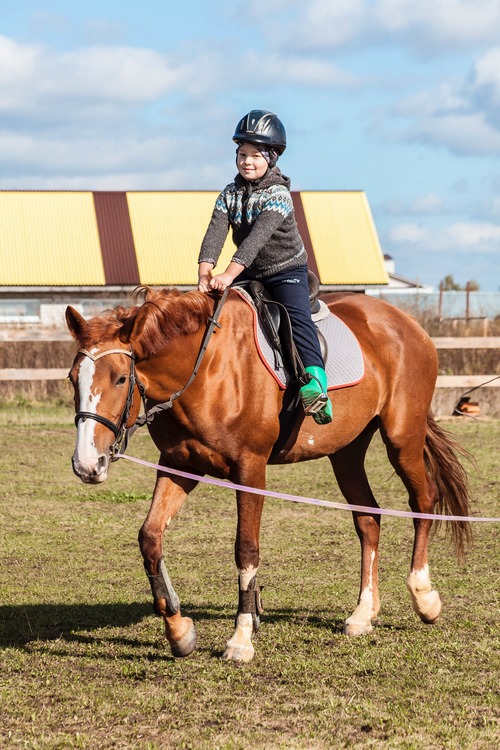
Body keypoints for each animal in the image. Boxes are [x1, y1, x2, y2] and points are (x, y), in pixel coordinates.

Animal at [66, 288, 472, 664]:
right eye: (72, 379)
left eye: (121, 379)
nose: (87, 464)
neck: (206, 369)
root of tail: (406, 323)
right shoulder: (180, 465)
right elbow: (149, 538)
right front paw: (179, 632)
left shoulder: (250, 470)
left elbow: (246, 549)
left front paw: (241, 638)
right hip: (347, 453)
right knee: (368, 519)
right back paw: (363, 613)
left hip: (402, 438)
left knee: (423, 501)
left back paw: (424, 597)